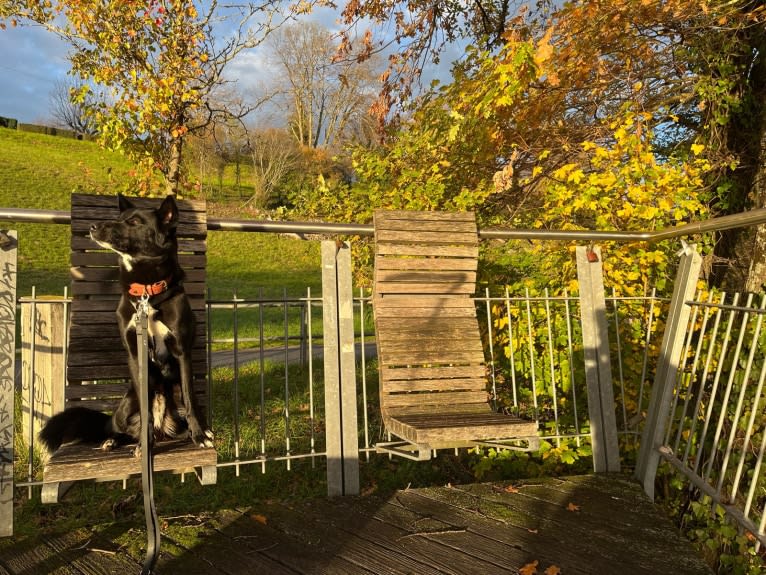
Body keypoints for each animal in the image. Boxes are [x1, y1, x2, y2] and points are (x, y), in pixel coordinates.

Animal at [42, 197, 216, 454]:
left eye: (134, 222)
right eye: (119, 218)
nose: (93, 227)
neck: (147, 292)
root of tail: (163, 429)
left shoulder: (182, 352)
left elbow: (190, 397)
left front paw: (200, 435)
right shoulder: (135, 355)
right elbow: (145, 413)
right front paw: (145, 445)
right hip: (128, 402)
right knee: (122, 428)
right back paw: (114, 440)